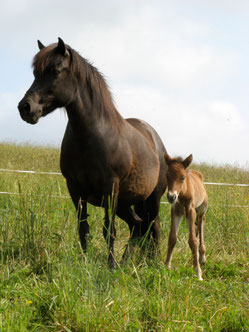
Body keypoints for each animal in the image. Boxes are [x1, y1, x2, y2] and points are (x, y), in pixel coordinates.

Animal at [18, 38, 168, 268]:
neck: (92, 137)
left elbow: (109, 231)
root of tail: (155, 140)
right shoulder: (74, 188)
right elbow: (83, 229)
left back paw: (151, 262)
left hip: (151, 200)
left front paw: (110, 267)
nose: (26, 108)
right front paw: (85, 264)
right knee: (137, 226)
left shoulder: (110, 187)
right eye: (36, 73)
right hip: (125, 203)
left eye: (56, 71)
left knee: (154, 229)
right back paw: (127, 261)